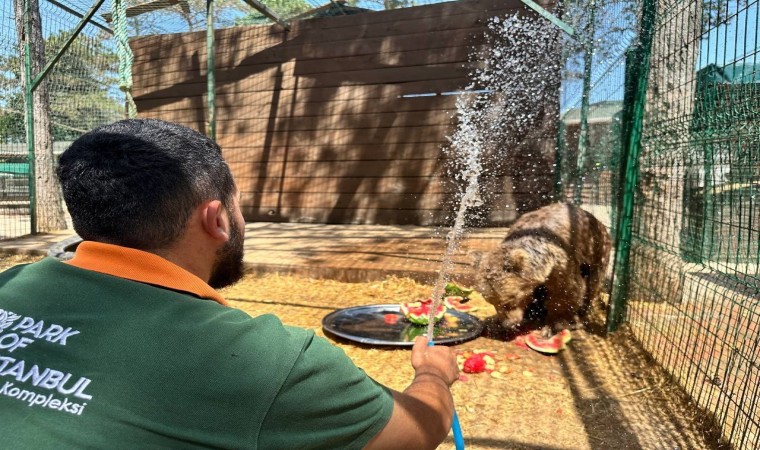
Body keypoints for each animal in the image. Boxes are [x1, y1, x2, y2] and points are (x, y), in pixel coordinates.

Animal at [476, 204, 612, 338]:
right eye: (493, 302)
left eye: (509, 301)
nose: (508, 324)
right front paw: (496, 322)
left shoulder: (565, 265)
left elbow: (566, 294)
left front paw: (550, 326)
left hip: (598, 255)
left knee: (592, 287)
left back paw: (579, 319)